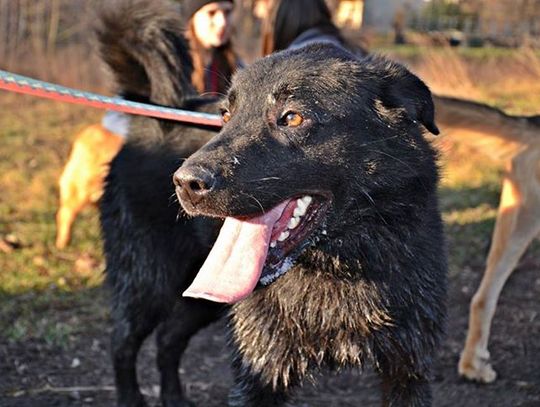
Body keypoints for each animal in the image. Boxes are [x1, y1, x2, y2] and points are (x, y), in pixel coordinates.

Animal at [174, 43, 448, 406]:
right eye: (226, 116)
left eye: (292, 117)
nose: (186, 183)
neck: (338, 270)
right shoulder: (258, 372)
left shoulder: (409, 369)